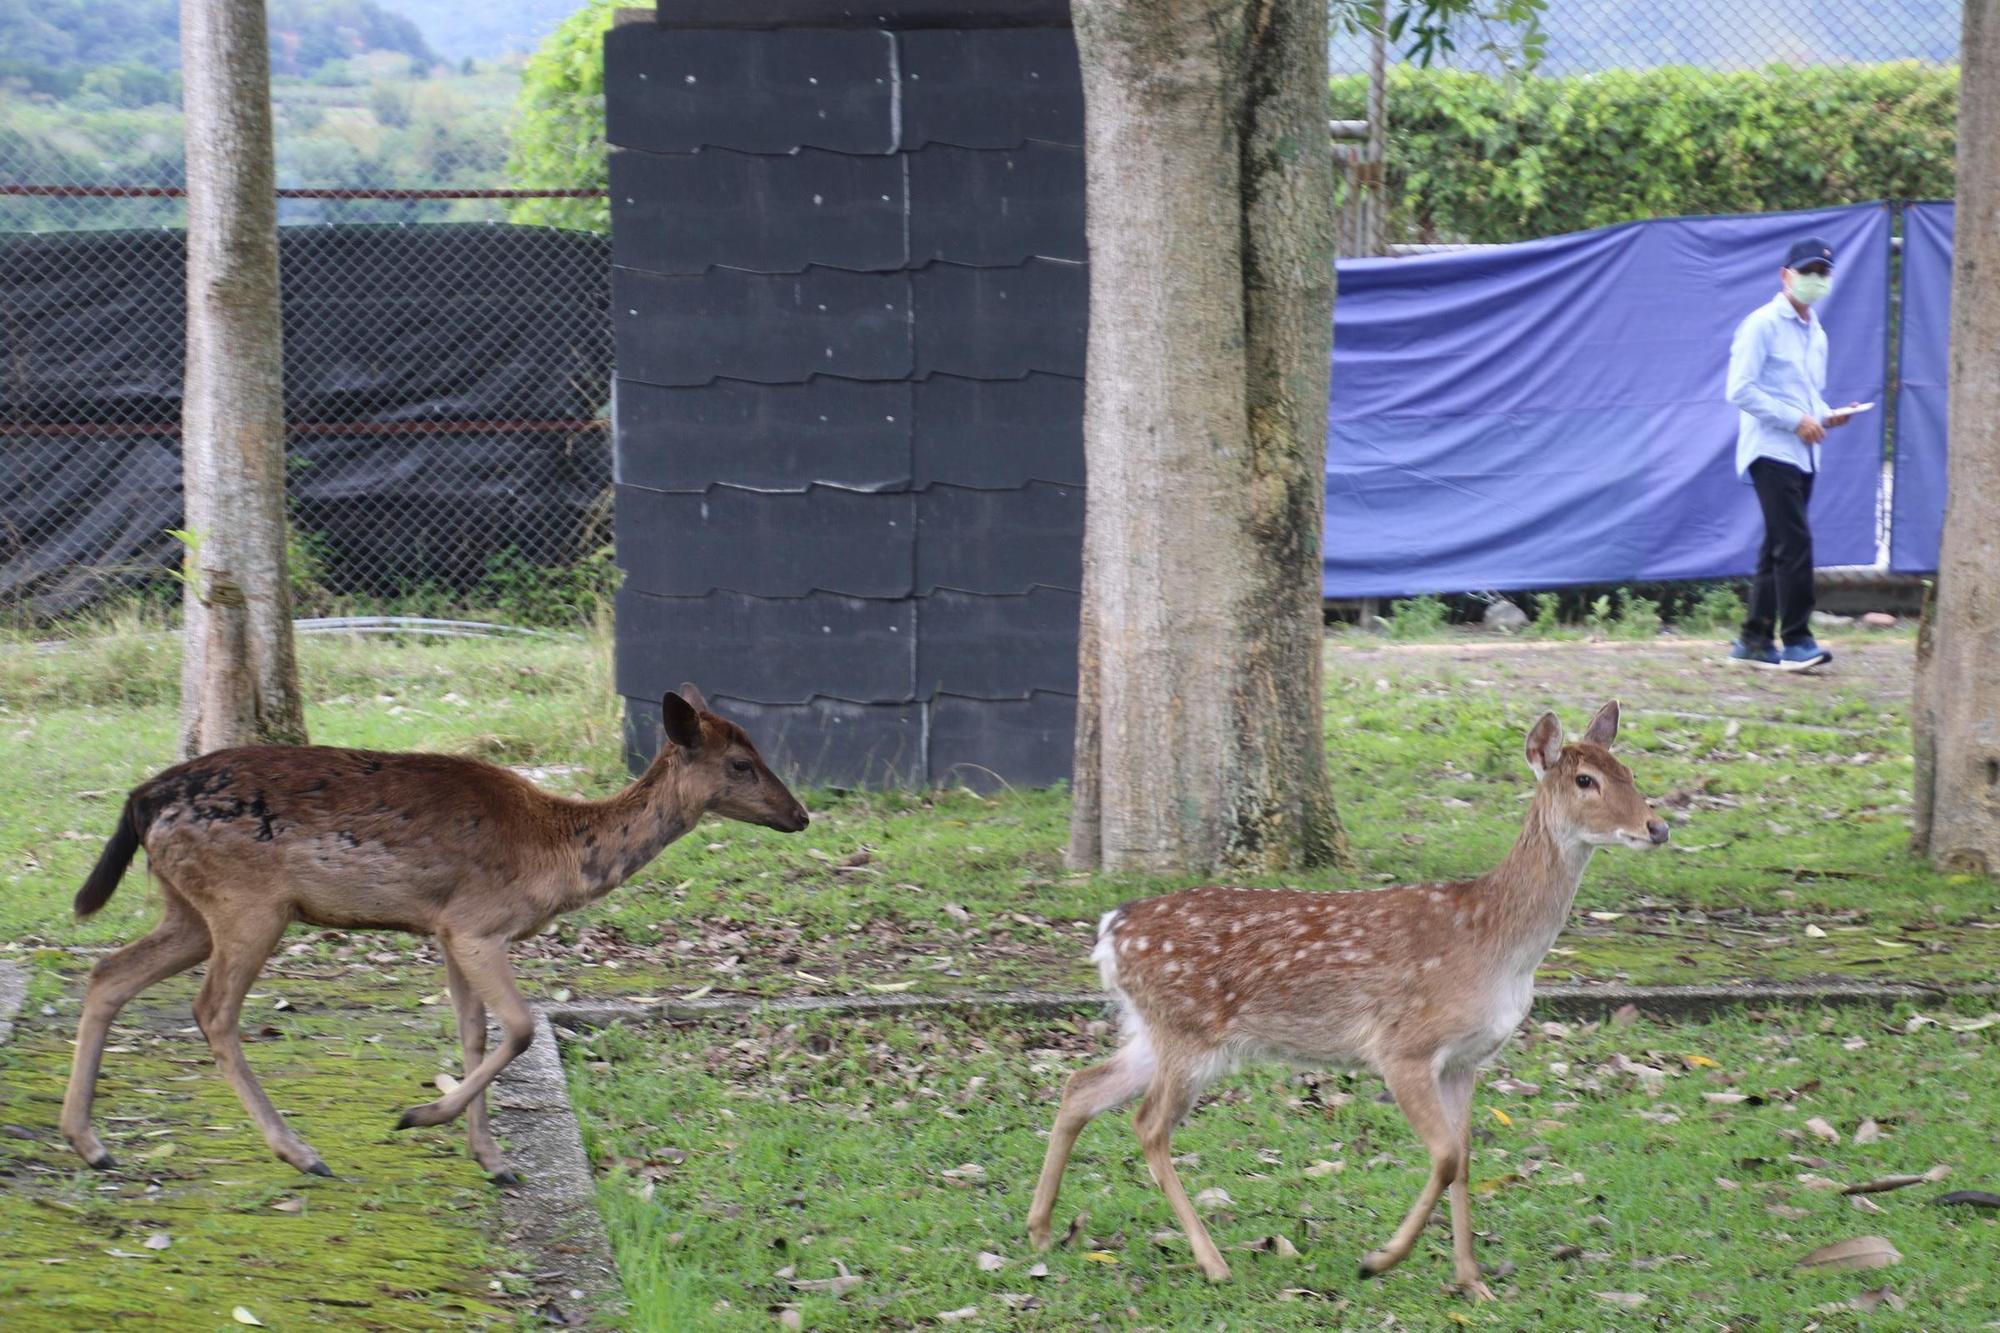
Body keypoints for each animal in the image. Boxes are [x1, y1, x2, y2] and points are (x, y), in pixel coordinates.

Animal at [59, 683, 807, 1183]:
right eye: (741, 763)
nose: (800, 814)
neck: (556, 851)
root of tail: (142, 798)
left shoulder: (445, 928)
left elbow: (473, 1032)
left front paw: (493, 1159)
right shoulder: (478, 923)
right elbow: (521, 1027)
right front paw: (418, 1117)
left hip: (189, 907)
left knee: (108, 974)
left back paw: (91, 1143)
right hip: (249, 904)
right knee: (211, 1009)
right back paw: (299, 1152)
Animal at [1026, 701, 1666, 1299]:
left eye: (1629, 770)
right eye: (1585, 780)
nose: (1657, 827)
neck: (1497, 945)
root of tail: (1110, 929)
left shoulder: (1466, 1060)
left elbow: (1464, 1161)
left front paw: (1472, 1282)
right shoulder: (1403, 1047)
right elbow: (1444, 1157)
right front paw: (1380, 1260)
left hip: (1154, 1030)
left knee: (1080, 1087)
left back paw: (1041, 1229)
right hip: (1188, 1031)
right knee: (1148, 1125)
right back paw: (1213, 1262)